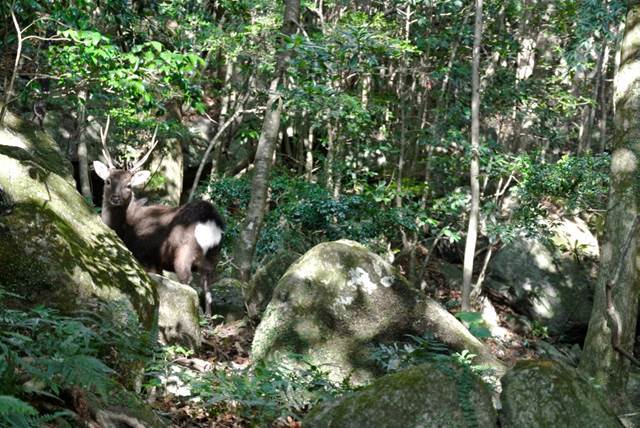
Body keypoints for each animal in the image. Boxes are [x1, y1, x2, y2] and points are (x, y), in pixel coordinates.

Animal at [92, 116, 225, 314]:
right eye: (108, 181)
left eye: (129, 185)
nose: (115, 198)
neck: (125, 228)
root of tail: (210, 221)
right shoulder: (157, 261)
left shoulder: (146, 255)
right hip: (212, 259)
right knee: (208, 292)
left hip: (184, 253)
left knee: (189, 285)